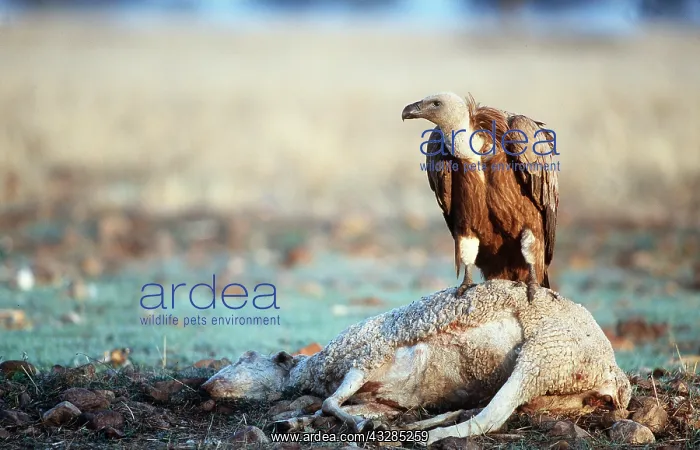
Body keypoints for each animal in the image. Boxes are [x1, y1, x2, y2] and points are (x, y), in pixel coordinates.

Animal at [202, 280, 631, 445]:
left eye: (245, 357)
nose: (205, 385)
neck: (315, 369)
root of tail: (613, 375)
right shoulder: (382, 396)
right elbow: (339, 407)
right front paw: (303, 422)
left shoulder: (364, 358)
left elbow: (331, 402)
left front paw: (348, 422)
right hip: (553, 390)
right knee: (481, 411)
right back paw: (415, 425)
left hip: (543, 356)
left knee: (489, 419)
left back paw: (428, 437)